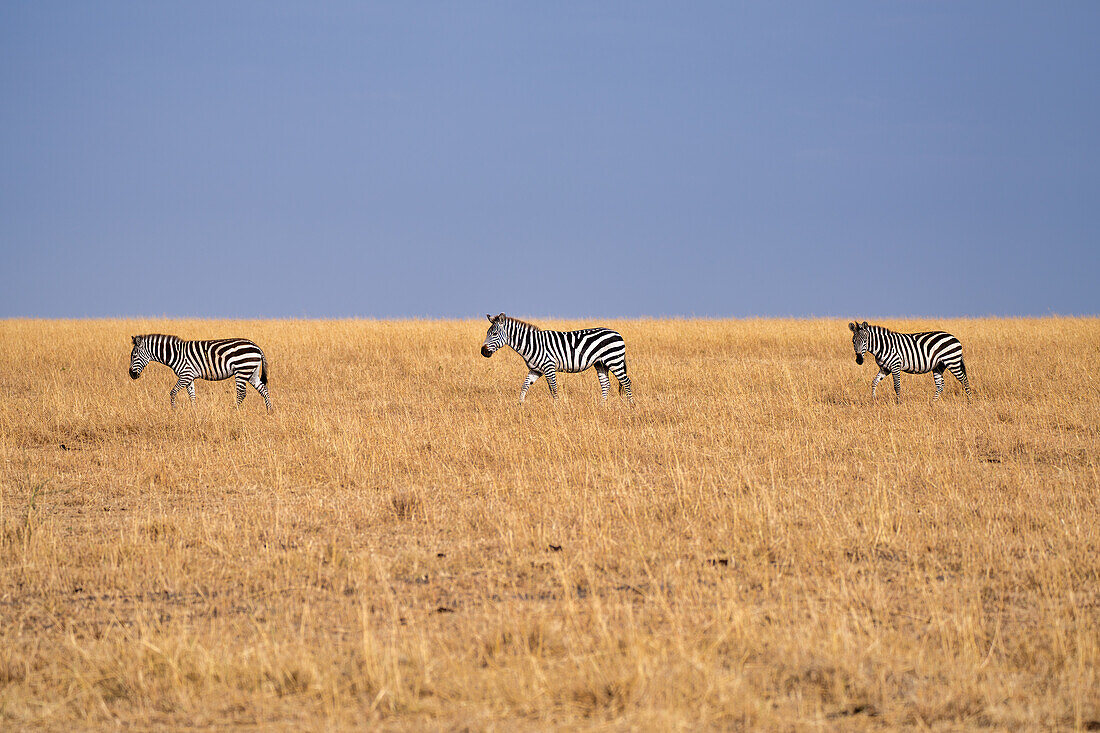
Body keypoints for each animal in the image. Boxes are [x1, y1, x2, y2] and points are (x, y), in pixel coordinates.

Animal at [129, 332, 272, 411]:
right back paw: (269, 411)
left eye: (134, 356)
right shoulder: (189, 377)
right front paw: (194, 412)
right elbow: (192, 396)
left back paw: (234, 411)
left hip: (242, 370)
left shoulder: (185, 375)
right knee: (264, 389)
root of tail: (256, 346)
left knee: (241, 394)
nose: (131, 374)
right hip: (252, 372)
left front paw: (173, 410)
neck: (176, 354)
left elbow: (173, 392)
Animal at [477, 312, 633, 402]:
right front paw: (520, 405)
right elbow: (525, 386)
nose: (483, 352)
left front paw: (557, 407)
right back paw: (602, 406)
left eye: (494, 334)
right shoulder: (535, 370)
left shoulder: (549, 367)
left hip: (614, 360)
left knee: (626, 382)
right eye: (487, 333)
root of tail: (617, 333)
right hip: (601, 363)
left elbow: (553, 389)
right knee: (606, 384)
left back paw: (631, 406)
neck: (531, 343)